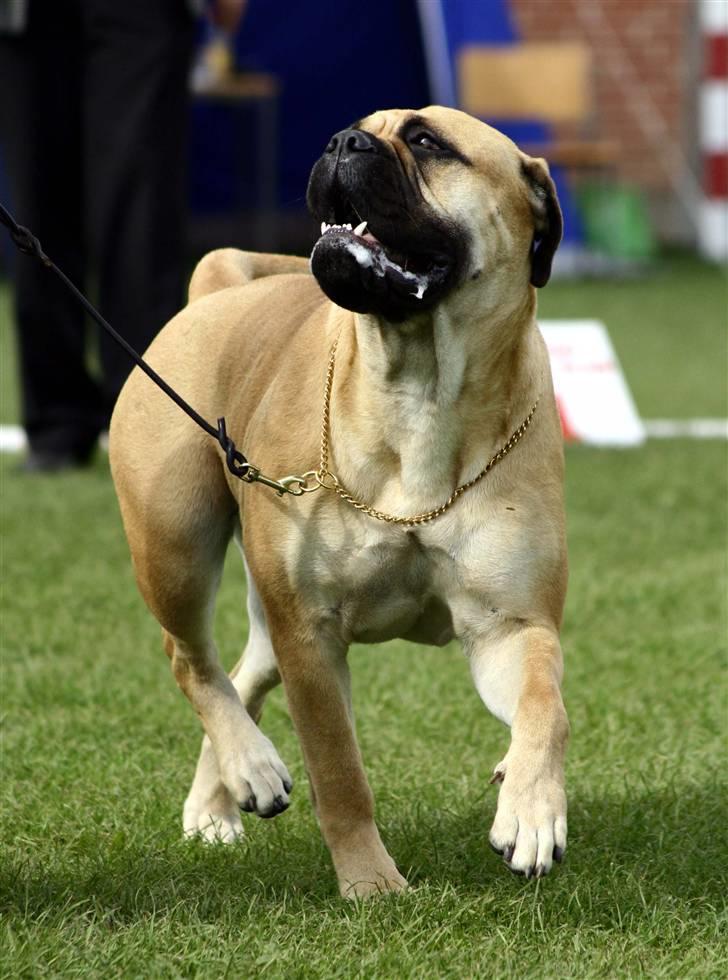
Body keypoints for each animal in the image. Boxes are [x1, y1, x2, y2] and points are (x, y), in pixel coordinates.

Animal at [111, 105, 572, 896]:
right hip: (175, 543)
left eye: (426, 142)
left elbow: (548, 705)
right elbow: (339, 771)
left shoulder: (509, 624)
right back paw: (251, 766)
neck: (421, 390)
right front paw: (371, 885)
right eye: (361, 127)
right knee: (191, 660)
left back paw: (222, 797)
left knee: (242, 673)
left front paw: (531, 809)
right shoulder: (311, 633)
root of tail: (215, 294)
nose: (340, 142)